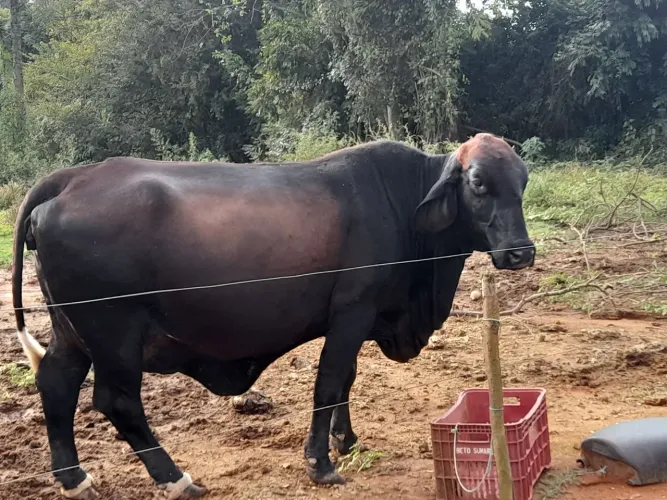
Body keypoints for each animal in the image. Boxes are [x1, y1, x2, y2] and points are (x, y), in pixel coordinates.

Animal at [12, 133, 535, 499]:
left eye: (523, 182)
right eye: (478, 183)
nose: (520, 252)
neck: (402, 204)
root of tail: (73, 178)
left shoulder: (356, 319)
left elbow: (346, 379)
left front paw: (347, 440)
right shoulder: (353, 310)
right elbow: (328, 382)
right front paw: (321, 463)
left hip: (70, 330)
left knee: (56, 382)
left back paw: (74, 478)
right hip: (114, 332)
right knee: (117, 402)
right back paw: (176, 478)